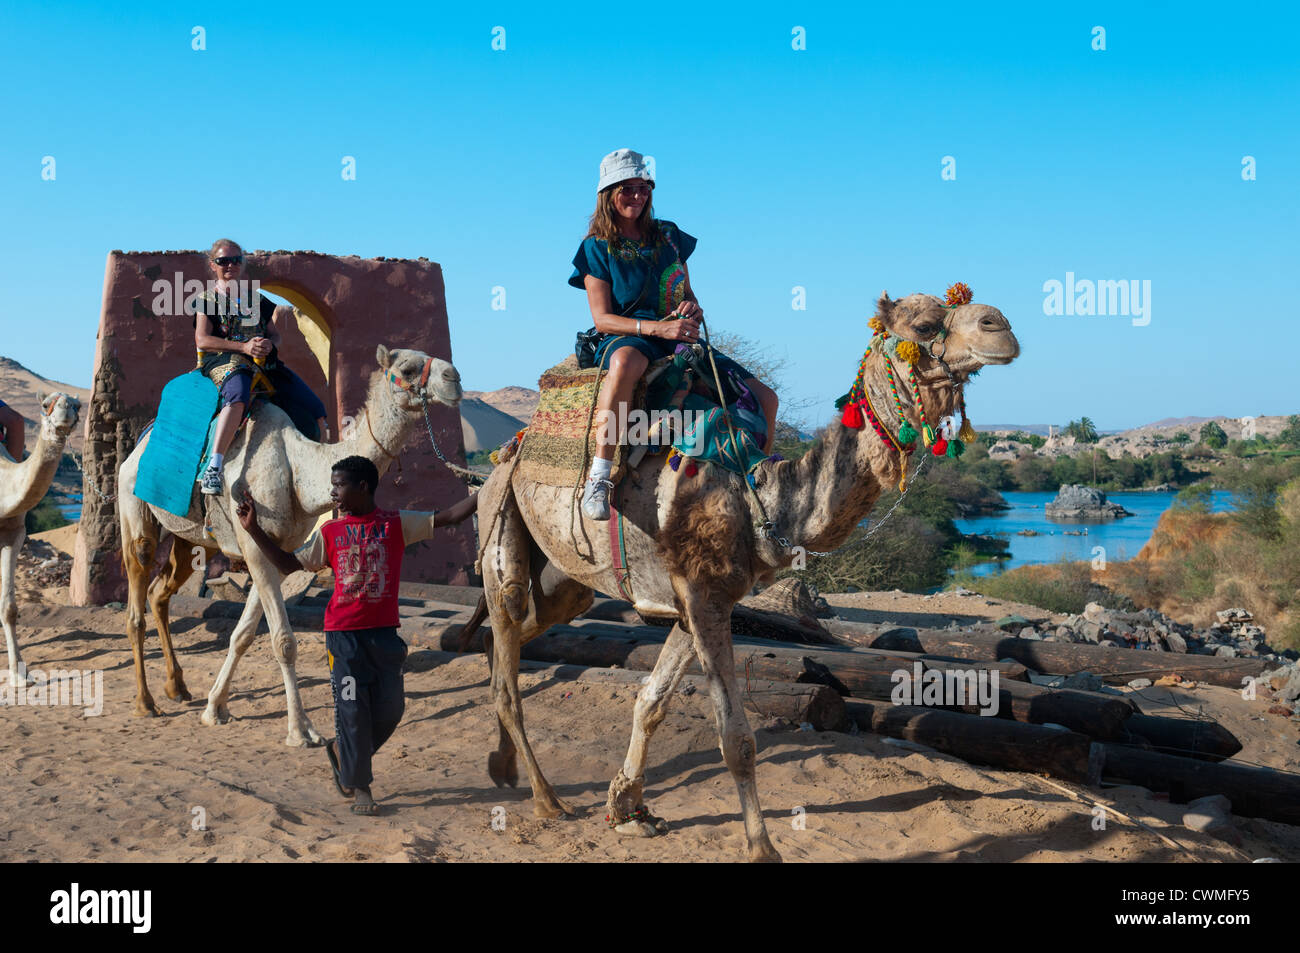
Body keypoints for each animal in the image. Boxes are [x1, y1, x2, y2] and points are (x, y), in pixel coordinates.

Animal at [473, 286, 1019, 858]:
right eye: (924, 325)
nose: (1000, 326)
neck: (755, 496)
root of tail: (505, 455)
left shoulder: (696, 602)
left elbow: (650, 702)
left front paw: (627, 810)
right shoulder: (703, 597)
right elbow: (735, 737)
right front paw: (762, 846)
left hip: (565, 580)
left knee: (511, 639)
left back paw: (502, 764)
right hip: (502, 524)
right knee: (508, 665)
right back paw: (545, 798)